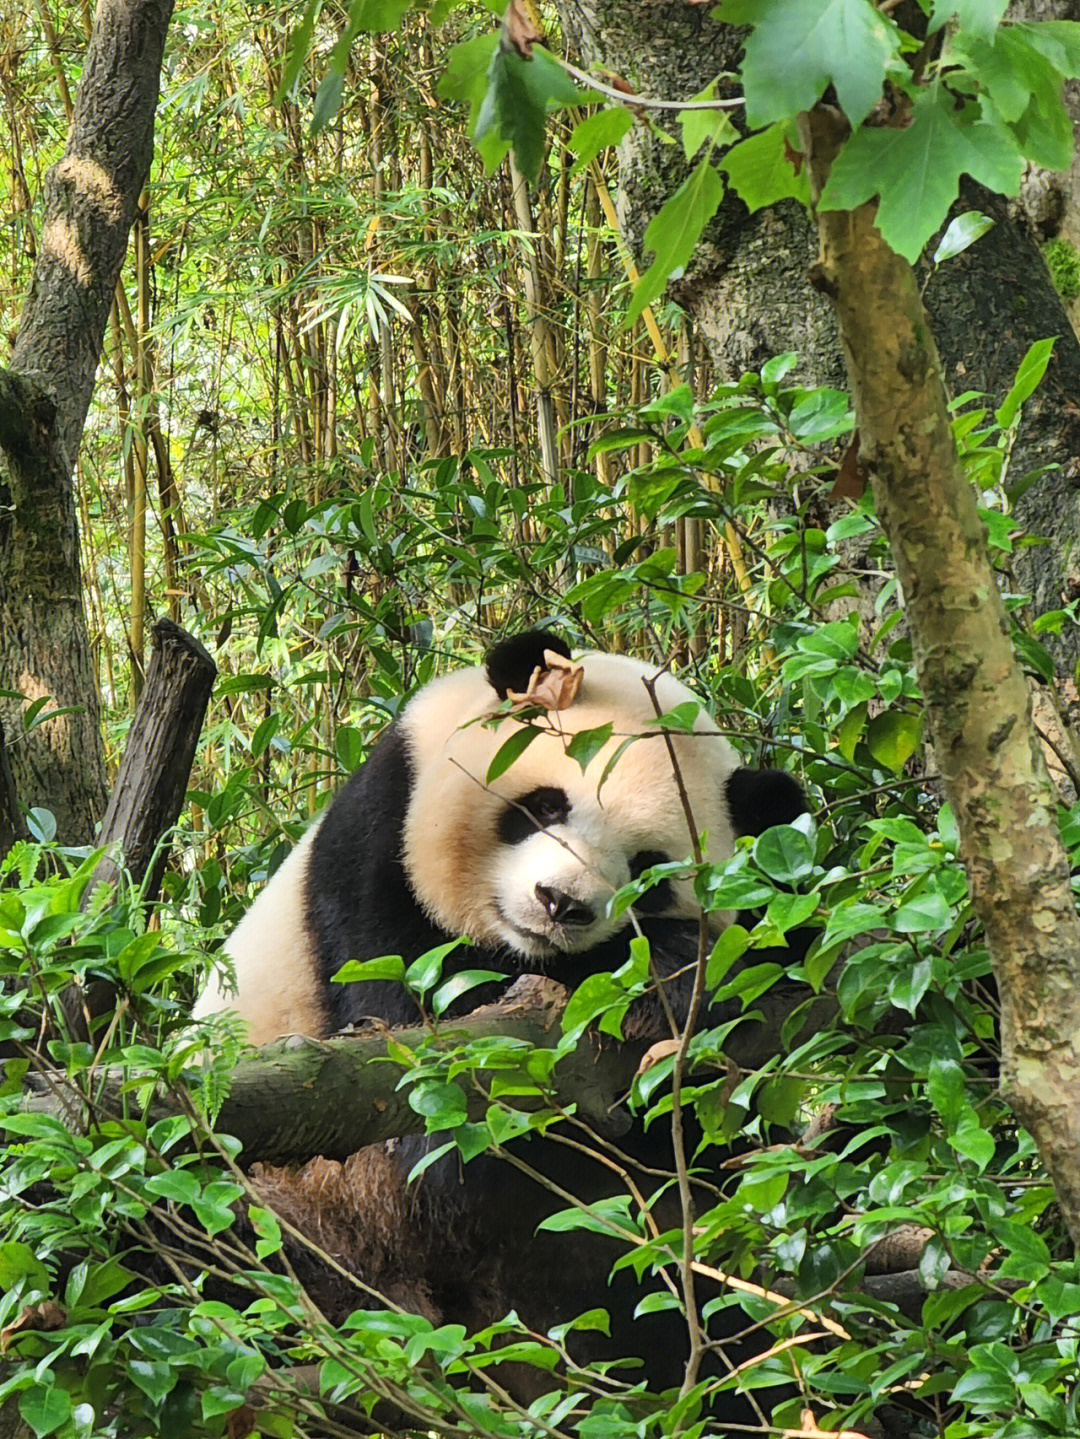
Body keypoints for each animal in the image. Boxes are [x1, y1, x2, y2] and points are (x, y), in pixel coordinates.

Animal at [197, 636, 811, 1421]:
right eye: (545, 805)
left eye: (650, 870)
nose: (561, 904)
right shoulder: (375, 861)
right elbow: (440, 1095)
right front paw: (657, 972)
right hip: (293, 1199)